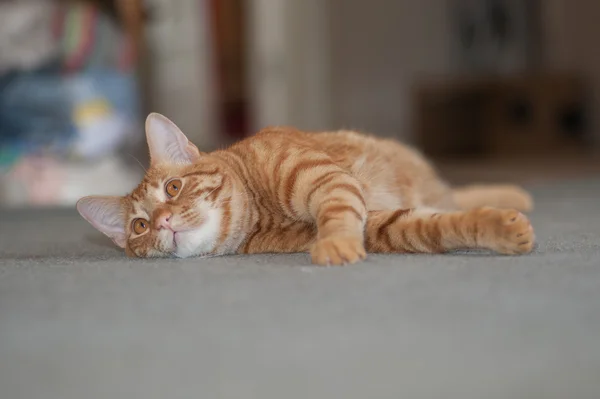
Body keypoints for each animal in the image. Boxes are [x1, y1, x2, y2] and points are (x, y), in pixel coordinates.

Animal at [76, 111, 536, 266]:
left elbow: (337, 213)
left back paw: (518, 193)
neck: (261, 211)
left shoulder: (327, 181)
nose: (164, 221)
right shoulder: (382, 225)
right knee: (450, 201)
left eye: (172, 188)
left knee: (457, 194)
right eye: (139, 226)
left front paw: (335, 244)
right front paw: (500, 229)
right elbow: (437, 226)